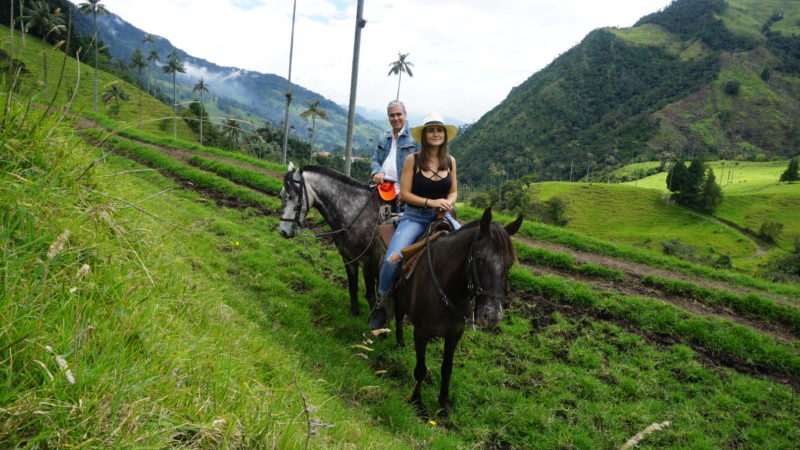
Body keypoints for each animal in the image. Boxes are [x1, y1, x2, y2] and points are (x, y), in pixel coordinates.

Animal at [396, 208, 524, 414]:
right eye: (479, 258)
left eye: (510, 263)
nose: (491, 316)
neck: (448, 289)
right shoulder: (421, 332)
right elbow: (421, 369)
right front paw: (417, 402)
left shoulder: (455, 334)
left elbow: (447, 368)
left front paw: (444, 403)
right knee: (396, 313)